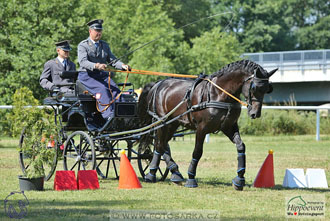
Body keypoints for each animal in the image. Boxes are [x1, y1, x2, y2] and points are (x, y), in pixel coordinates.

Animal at [138, 60, 278, 190]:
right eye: (254, 88)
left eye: (268, 89)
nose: (255, 113)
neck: (219, 94)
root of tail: (158, 83)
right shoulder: (201, 128)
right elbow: (197, 152)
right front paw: (191, 178)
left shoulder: (229, 127)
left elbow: (241, 147)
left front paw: (239, 179)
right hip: (162, 122)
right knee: (159, 145)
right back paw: (151, 174)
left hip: (173, 123)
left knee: (163, 145)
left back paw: (174, 174)